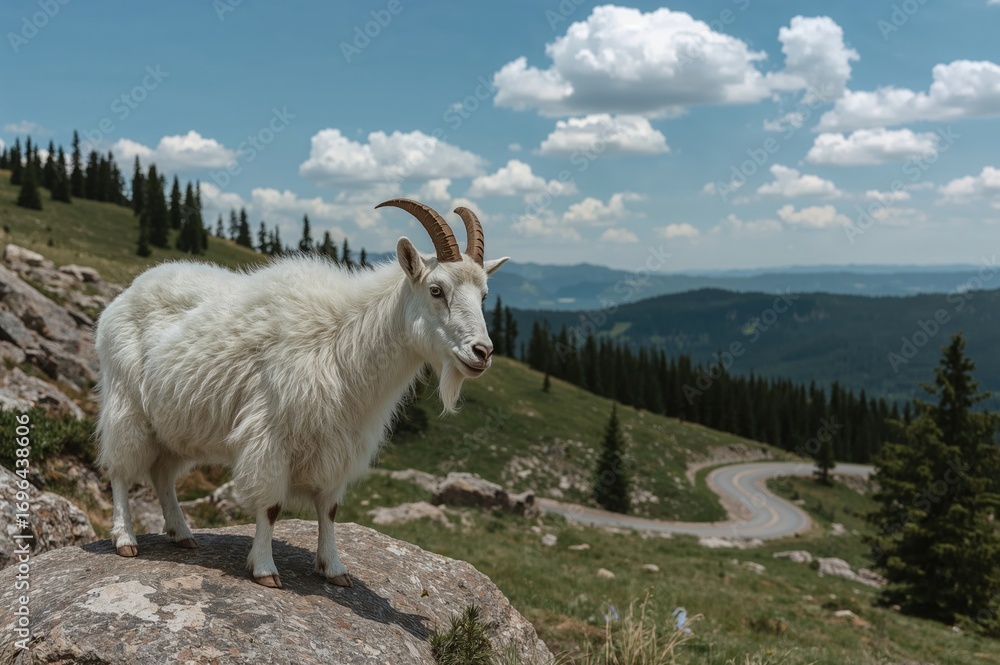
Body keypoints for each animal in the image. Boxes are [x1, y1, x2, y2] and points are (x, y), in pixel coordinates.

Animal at [95, 199, 508, 588]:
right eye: (437, 290)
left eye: (484, 296)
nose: (482, 353)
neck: (341, 342)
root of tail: (123, 298)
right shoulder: (270, 435)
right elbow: (271, 506)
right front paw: (265, 569)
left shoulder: (339, 444)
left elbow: (329, 509)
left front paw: (334, 569)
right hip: (126, 404)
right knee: (121, 471)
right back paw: (126, 539)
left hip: (173, 425)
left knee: (162, 474)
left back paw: (182, 534)